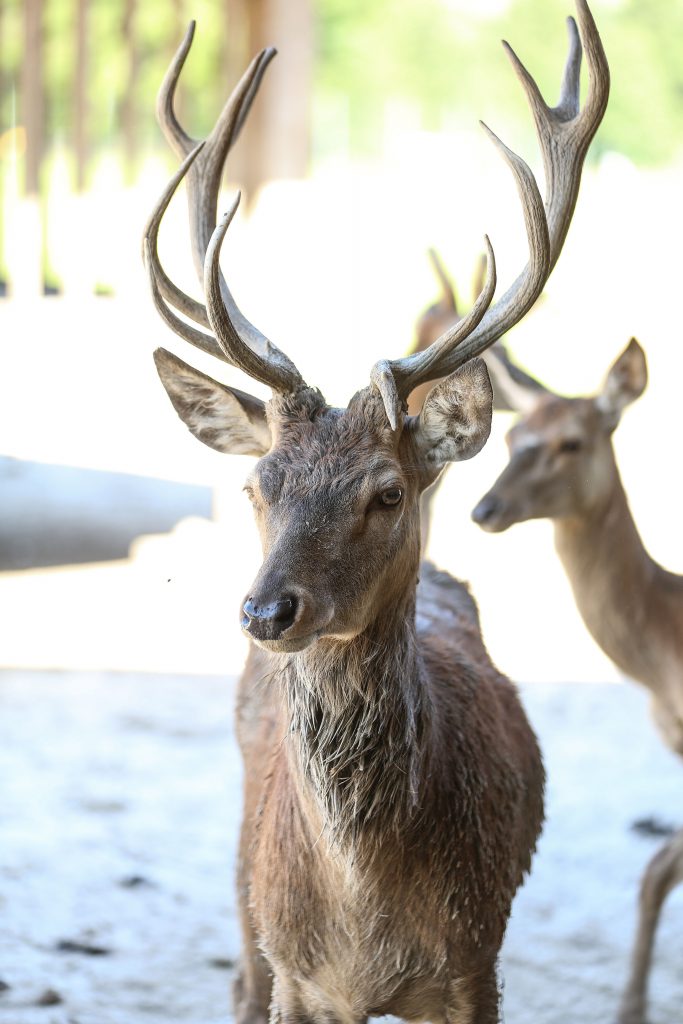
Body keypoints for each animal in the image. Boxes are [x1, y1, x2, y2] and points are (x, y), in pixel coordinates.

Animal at [143, 8, 610, 1024]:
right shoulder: (295, 973)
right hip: (245, 902)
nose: (265, 610)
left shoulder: (476, 961)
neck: (362, 924)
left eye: (386, 492)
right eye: (258, 484)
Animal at [473, 337, 683, 1024]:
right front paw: (629, 1007)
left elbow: (658, 868)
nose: (485, 509)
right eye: (513, 437)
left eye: (572, 442)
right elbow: (656, 871)